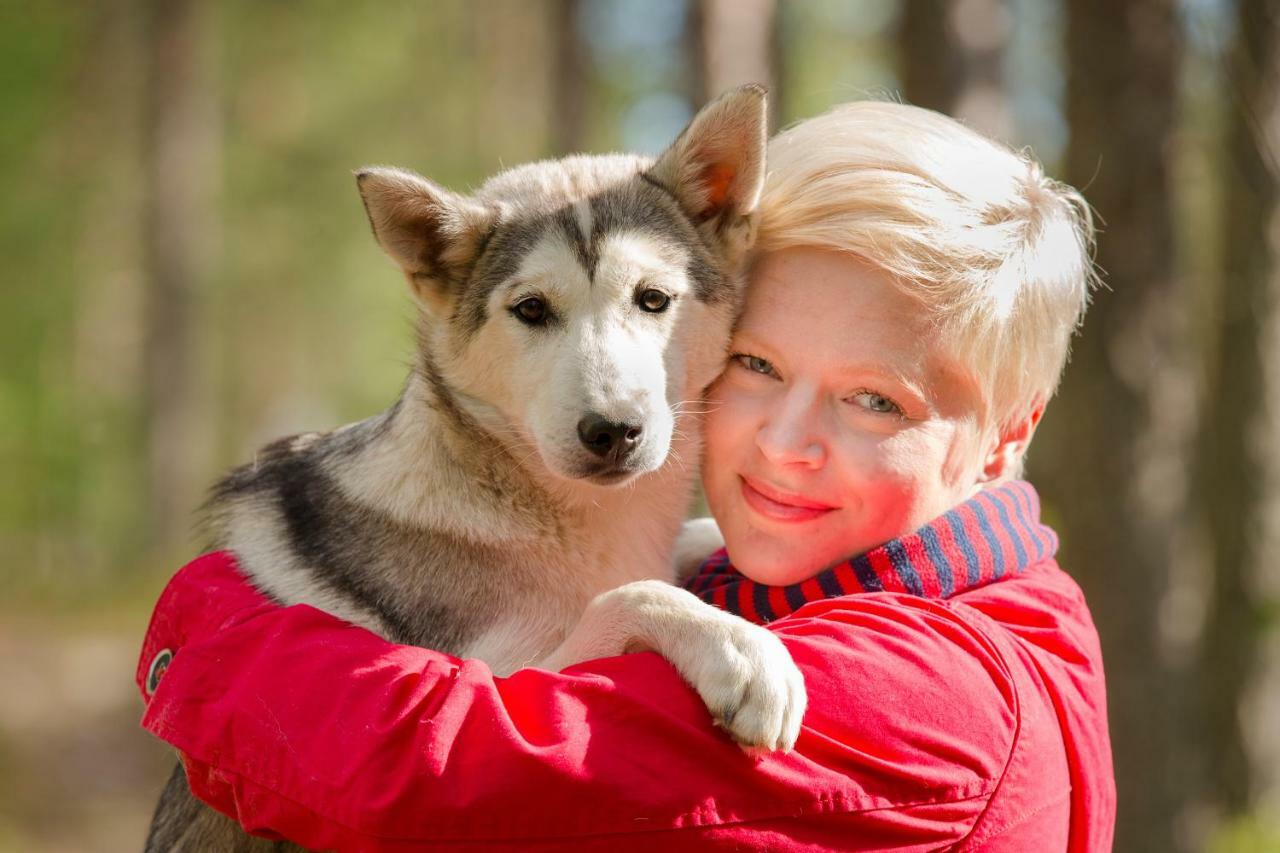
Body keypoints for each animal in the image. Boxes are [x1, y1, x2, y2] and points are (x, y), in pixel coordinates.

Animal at [145, 87, 803, 850]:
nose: (612, 430)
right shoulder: (508, 686)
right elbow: (634, 594)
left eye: (653, 298)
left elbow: (673, 555)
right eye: (531, 309)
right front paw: (741, 649)